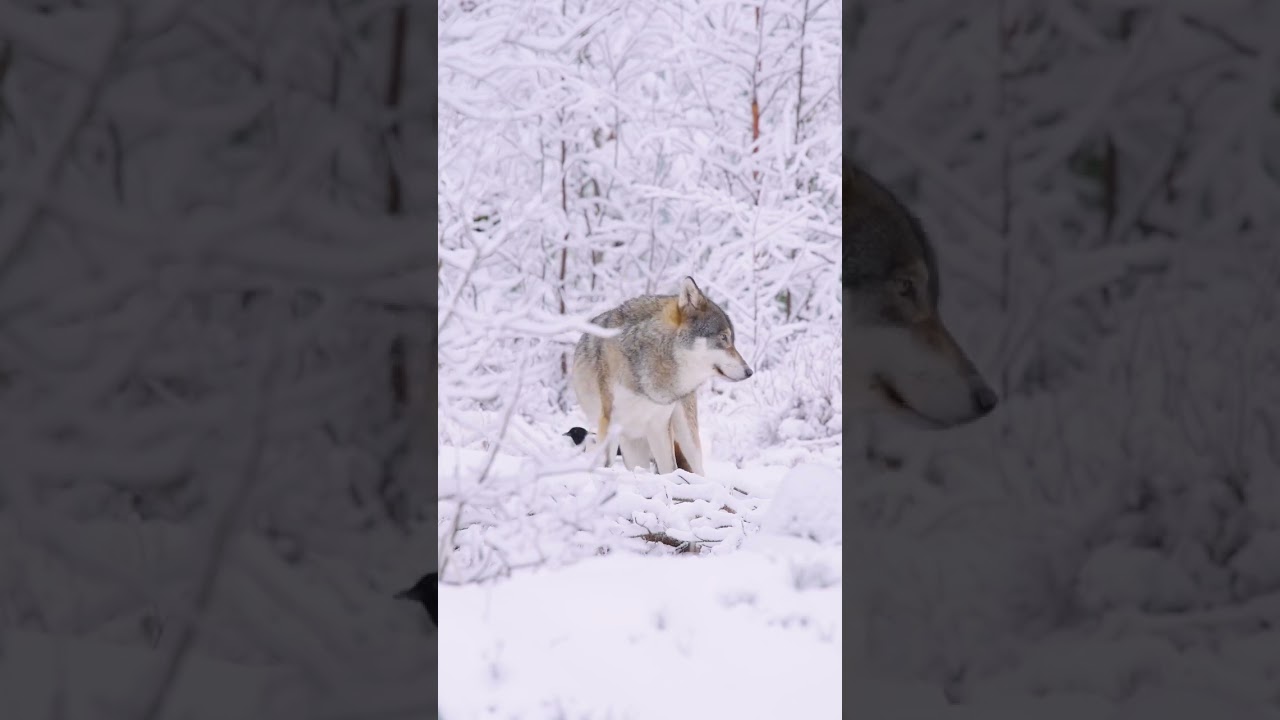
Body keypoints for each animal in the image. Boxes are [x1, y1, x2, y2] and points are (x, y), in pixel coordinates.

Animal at [568, 277, 752, 475]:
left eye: (731, 339)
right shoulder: (609, 423)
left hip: (685, 437)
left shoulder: (660, 425)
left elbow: (669, 469)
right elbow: (605, 463)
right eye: (724, 338)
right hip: (631, 444)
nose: (749, 371)